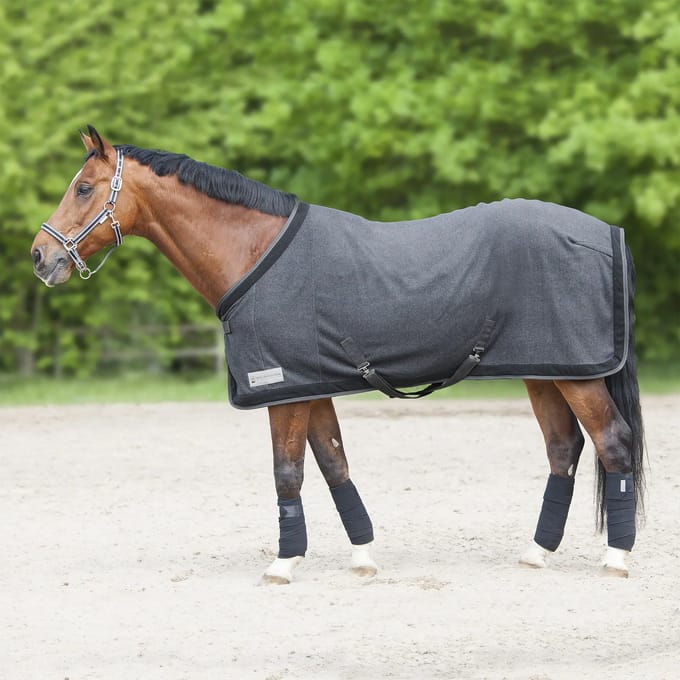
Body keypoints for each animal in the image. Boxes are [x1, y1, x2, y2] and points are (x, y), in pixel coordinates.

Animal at [31, 126, 645, 582]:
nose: (40, 257)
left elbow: (287, 472)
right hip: (545, 371)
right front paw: (363, 557)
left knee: (612, 442)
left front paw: (283, 564)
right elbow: (332, 463)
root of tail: (605, 235)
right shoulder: (310, 383)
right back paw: (537, 552)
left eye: (84, 188)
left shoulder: (281, 390)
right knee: (564, 448)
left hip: (577, 376)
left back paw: (616, 558)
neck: (252, 251)